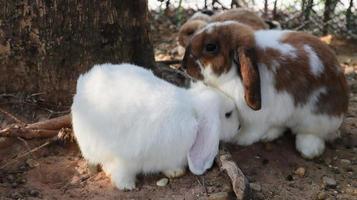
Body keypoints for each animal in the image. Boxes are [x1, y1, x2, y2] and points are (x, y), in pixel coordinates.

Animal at [70, 63, 238, 190]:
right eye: (228, 114)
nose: (239, 126)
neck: (193, 112)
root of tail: (84, 82)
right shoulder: (126, 157)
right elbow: (122, 172)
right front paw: (126, 186)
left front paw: (175, 172)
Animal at [181, 21, 348, 159]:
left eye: (211, 47)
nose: (183, 65)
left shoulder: (255, 118)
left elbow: (251, 131)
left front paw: (239, 139)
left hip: (317, 118)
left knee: (313, 133)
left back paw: (308, 149)